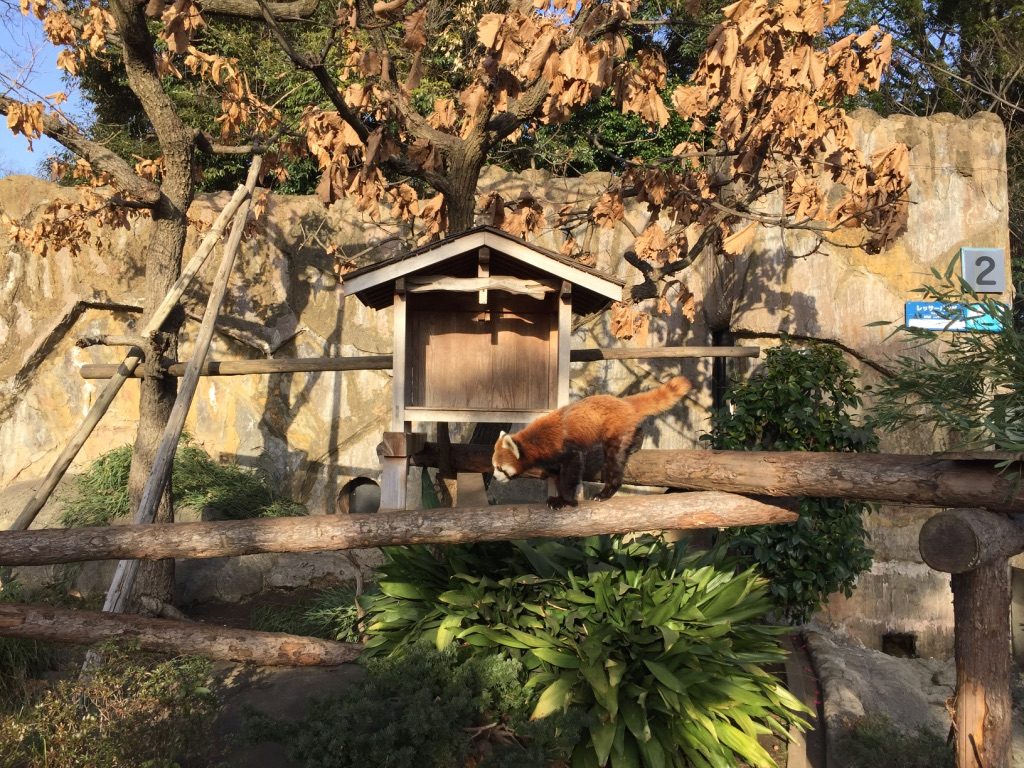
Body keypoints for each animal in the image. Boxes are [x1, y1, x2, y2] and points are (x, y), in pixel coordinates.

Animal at [491, 376, 692, 507]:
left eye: (500, 468)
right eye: (494, 466)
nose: (494, 477)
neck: (534, 442)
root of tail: (622, 402)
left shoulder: (564, 448)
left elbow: (571, 471)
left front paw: (567, 500)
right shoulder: (551, 458)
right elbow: (557, 475)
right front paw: (558, 498)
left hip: (612, 432)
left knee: (614, 460)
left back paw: (605, 492)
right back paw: (636, 442)